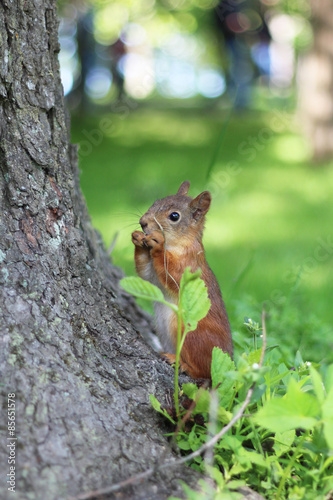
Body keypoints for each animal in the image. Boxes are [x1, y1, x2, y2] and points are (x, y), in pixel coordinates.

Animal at [131, 181, 232, 378]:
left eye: (174, 216)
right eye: (156, 201)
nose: (143, 222)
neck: (176, 243)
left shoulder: (189, 267)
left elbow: (173, 275)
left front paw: (157, 244)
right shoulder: (151, 274)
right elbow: (145, 273)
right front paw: (137, 238)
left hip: (191, 332)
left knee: (202, 371)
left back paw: (182, 364)